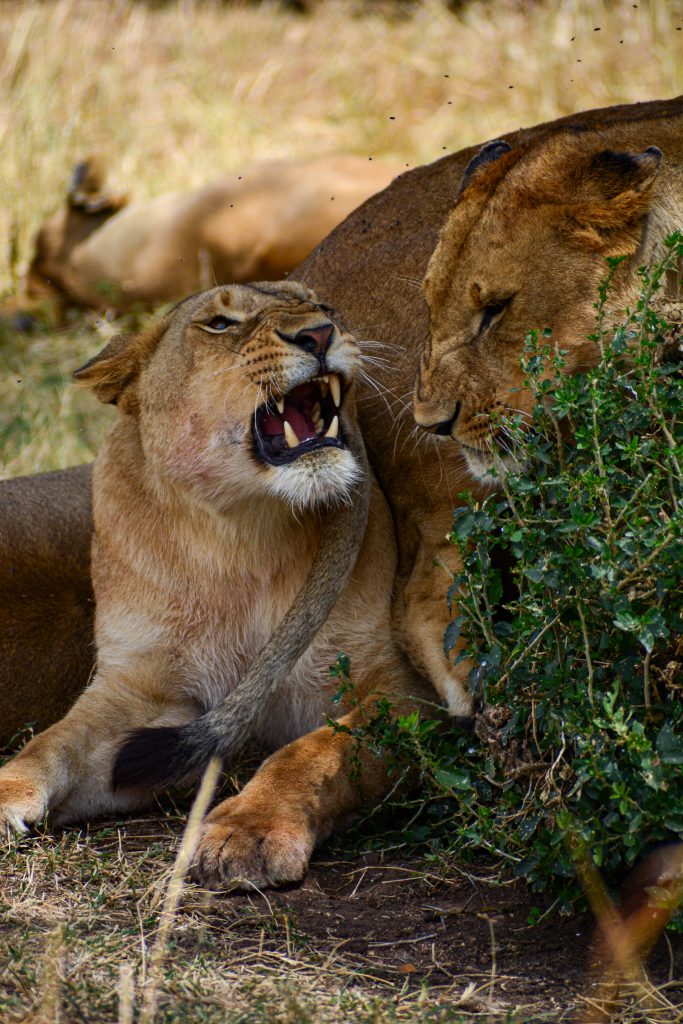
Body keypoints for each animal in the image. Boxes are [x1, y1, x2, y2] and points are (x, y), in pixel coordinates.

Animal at [0, 281, 431, 888]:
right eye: (221, 324)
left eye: (322, 306)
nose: (320, 333)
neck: (239, 534)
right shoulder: (143, 695)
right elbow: (52, 742)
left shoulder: (402, 688)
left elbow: (317, 751)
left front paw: (249, 829)